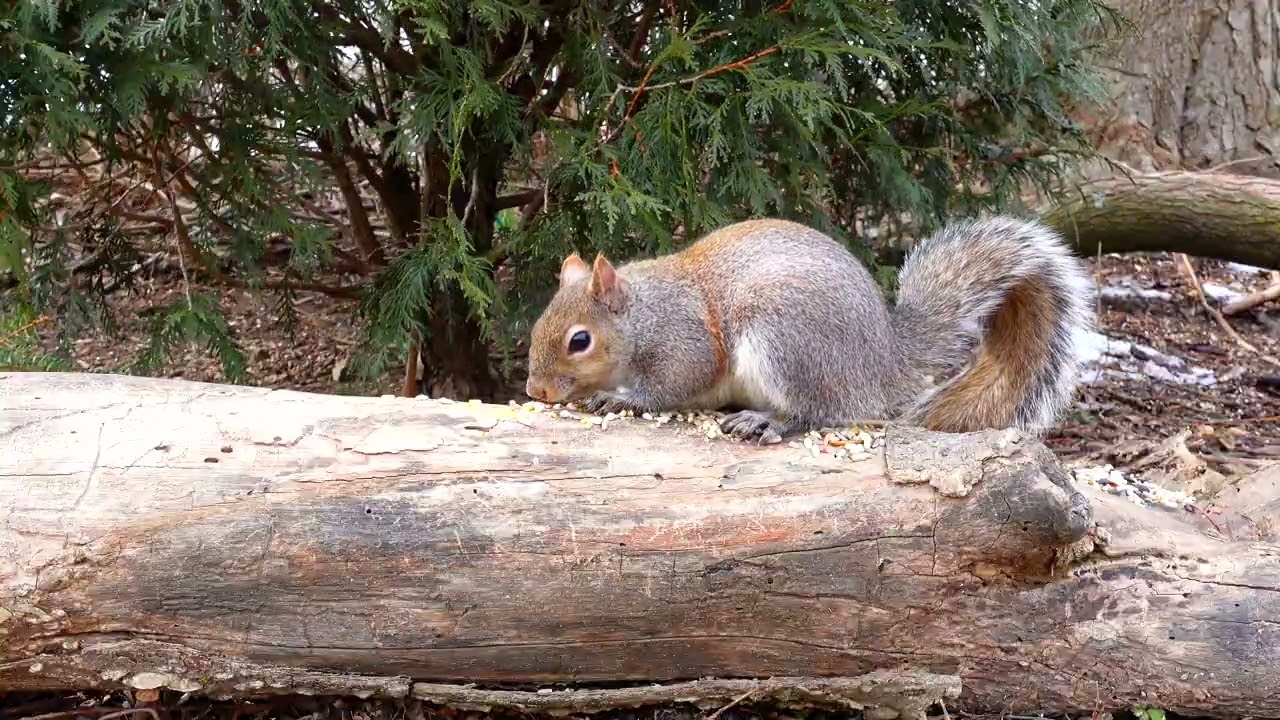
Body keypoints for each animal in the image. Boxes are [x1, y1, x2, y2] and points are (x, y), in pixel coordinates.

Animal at [524, 216, 1094, 444]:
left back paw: (766, 421)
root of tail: (884, 363)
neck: (642, 314)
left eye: (580, 341)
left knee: (819, 411)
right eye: (535, 326)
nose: (536, 391)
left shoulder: (681, 340)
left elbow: (675, 382)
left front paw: (619, 399)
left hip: (784, 339)